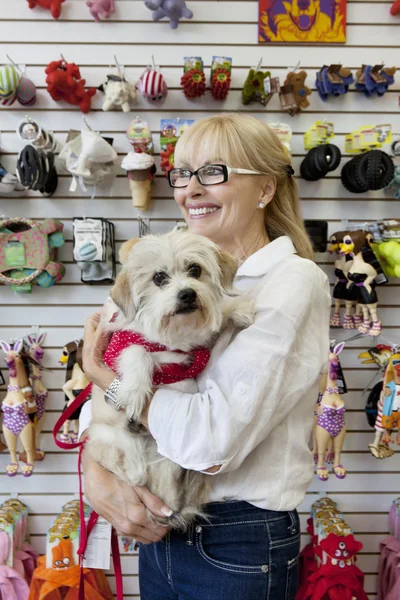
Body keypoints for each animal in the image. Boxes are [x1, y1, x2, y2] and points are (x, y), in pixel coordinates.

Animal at [86, 232, 255, 528]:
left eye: (195, 270)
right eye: (159, 277)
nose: (187, 294)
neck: (172, 338)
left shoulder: (197, 346)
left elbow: (216, 321)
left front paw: (237, 310)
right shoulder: (115, 345)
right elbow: (138, 350)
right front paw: (135, 390)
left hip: (167, 457)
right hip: (103, 434)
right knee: (129, 469)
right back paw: (134, 461)